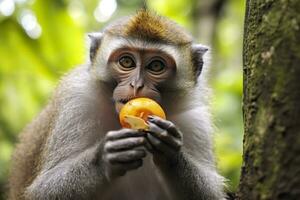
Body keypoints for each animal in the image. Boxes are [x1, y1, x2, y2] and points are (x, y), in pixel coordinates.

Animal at [7, 10, 225, 200]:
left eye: (156, 66)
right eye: (127, 62)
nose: (136, 85)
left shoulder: (195, 120)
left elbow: (210, 195)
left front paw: (171, 152)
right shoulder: (77, 101)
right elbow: (42, 190)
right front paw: (104, 159)